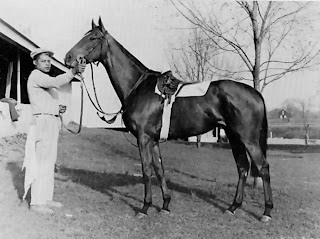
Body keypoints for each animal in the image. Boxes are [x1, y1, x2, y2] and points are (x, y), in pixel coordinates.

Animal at [64, 17, 272, 221]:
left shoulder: (144, 138)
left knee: (263, 167)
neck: (139, 87)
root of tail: (255, 93)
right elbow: (159, 169)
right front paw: (165, 205)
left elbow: (146, 170)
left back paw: (267, 212)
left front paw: (145, 207)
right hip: (233, 136)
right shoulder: (154, 140)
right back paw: (233, 207)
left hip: (248, 139)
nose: (68, 58)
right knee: (243, 168)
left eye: (93, 38)